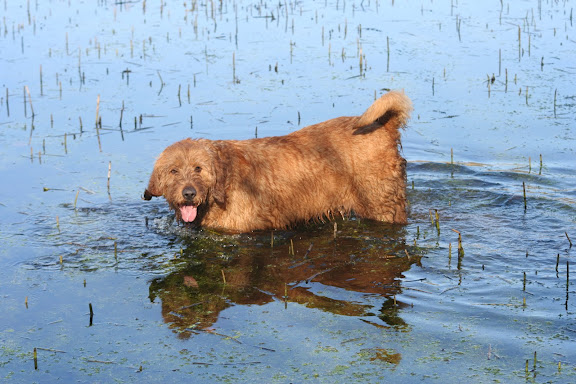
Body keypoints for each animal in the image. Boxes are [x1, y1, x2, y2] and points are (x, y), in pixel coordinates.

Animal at [144, 91, 414, 232]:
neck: (223, 181)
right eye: (173, 171)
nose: (189, 193)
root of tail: (384, 125)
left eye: (198, 169)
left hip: (382, 206)